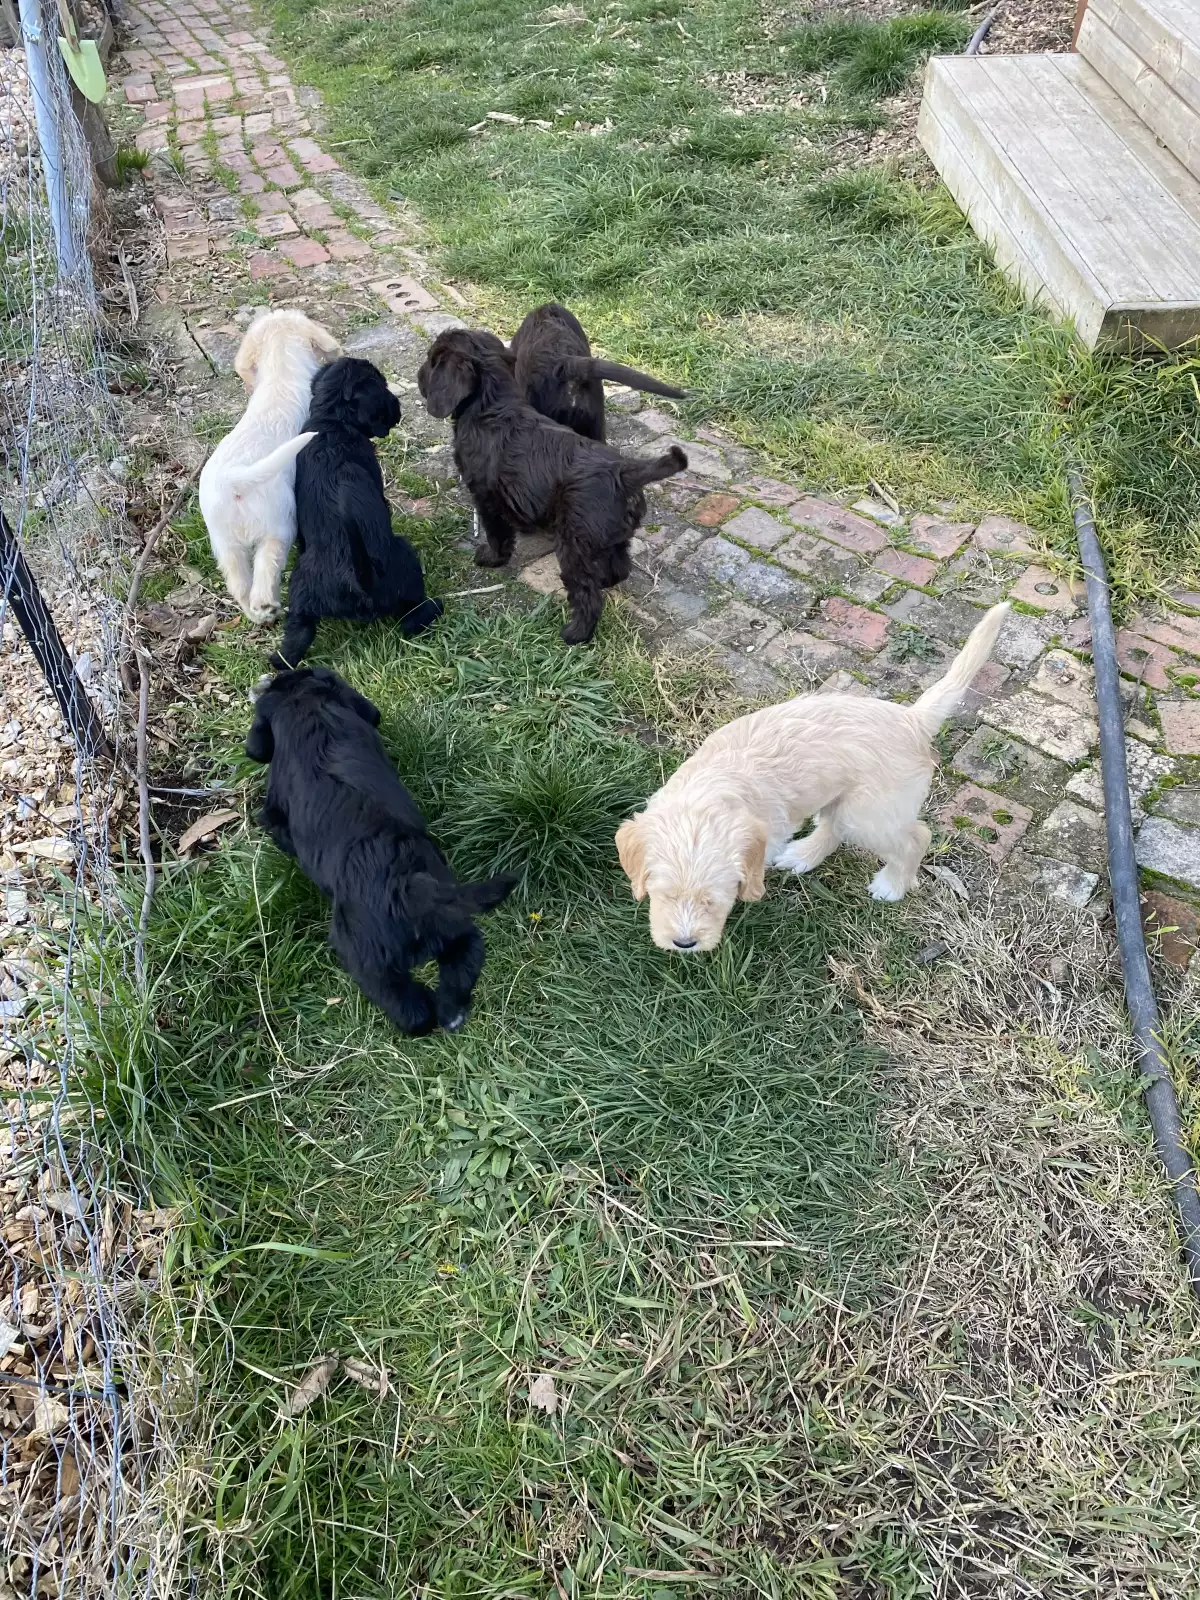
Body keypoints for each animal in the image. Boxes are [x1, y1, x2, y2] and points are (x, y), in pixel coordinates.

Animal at [199, 310, 341, 623]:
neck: (281, 369)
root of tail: (235, 479)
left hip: (225, 543)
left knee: (239, 584)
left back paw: (258, 615)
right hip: (280, 525)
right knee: (266, 567)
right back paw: (267, 605)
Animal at [246, 666, 516, 1035]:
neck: (308, 707)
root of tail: (406, 887)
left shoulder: (275, 810)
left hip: (365, 956)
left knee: (410, 1010)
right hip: (454, 928)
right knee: (463, 963)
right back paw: (453, 1012)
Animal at [271, 357, 443, 669]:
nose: (397, 407)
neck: (333, 421)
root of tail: (357, 579)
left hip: (301, 598)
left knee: (297, 637)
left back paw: (278, 660)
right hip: (405, 562)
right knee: (410, 620)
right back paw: (435, 607)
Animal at [417, 327, 687, 644]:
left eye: (432, 361)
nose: (419, 375)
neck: (491, 404)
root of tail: (624, 472)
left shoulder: (485, 497)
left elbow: (497, 533)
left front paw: (490, 558)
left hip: (574, 546)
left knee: (587, 595)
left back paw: (574, 634)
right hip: (612, 537)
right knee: (619, 568)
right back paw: (604, 581)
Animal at [615, 602, 1011, 951]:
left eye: (715, 899)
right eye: (664, 894)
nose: (684, 944)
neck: (708, 793)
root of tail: (911, 718)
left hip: (869, 814)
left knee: (915, 837)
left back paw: (892, 884)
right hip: (845, 799)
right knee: (834, 827)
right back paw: (803, 855)